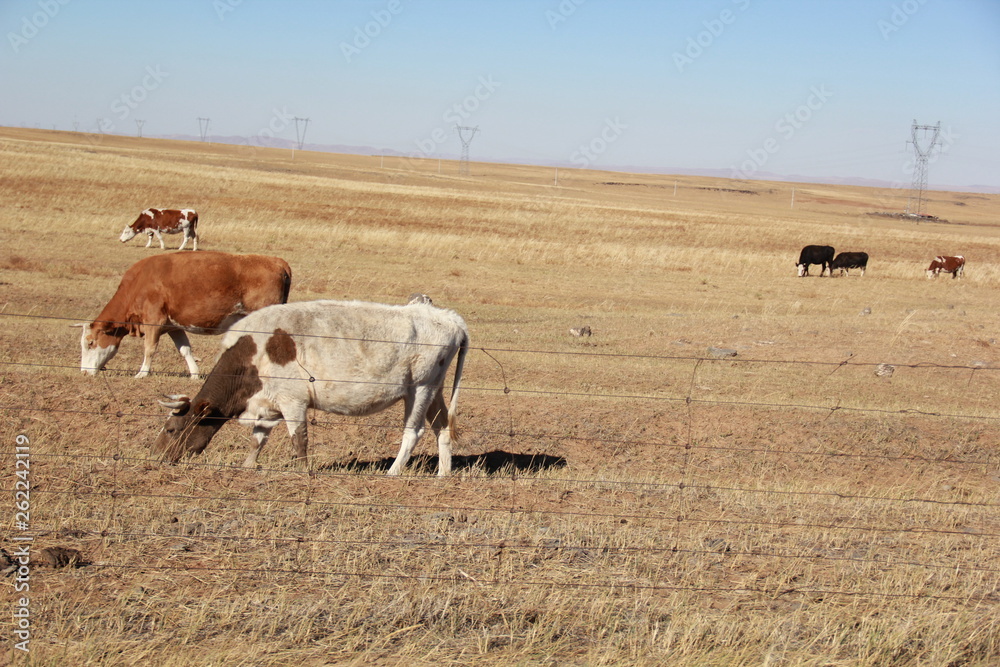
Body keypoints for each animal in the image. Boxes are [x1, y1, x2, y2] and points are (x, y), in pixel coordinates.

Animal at [74, 251, 292, 379]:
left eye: (90, 343)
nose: (84, 372)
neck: (138, 284)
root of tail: (277, 262)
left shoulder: (154, 321)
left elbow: (149, 349)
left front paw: (142, 373)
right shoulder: (173, 326)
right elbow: (185, 350)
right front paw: (195, 374)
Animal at [150, 299, 470, 477]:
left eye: (172, 429)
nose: (157, 456)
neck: (252, 353)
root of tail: (449, 318)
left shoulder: (293, 401)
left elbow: (299, 439)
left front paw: (302, 470)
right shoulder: (268, 404)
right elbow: (258, 439)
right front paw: (248, 465)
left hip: (420, 389)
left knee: (413, 432)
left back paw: (393, 472)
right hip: (434, 391)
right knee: (442, 425)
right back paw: (443, 473)